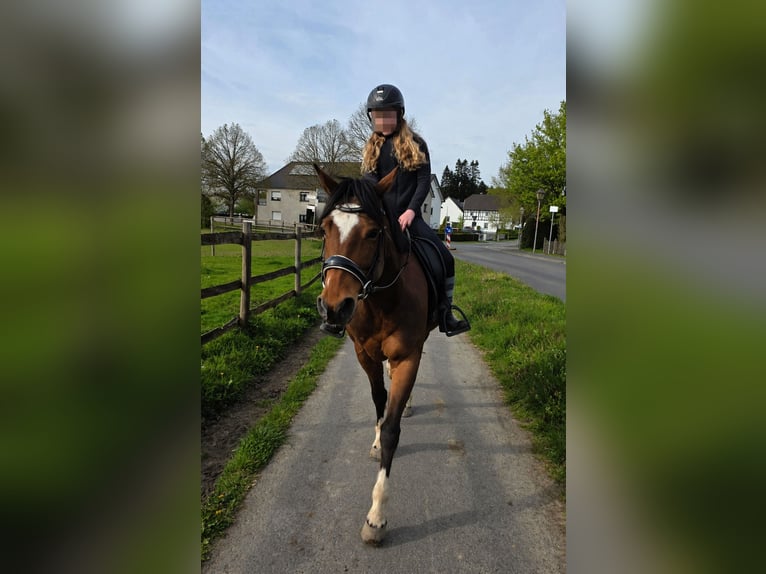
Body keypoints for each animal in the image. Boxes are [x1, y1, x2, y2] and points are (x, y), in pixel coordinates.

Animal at [314, 164, 438, 544]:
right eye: (325, 228)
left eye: (372, 233)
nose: (333, 308)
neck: (383, 298)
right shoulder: (364, 355)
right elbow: (379, 401)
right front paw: (374, 439)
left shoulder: (407, 357)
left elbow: (392, 430)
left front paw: (376, 518)